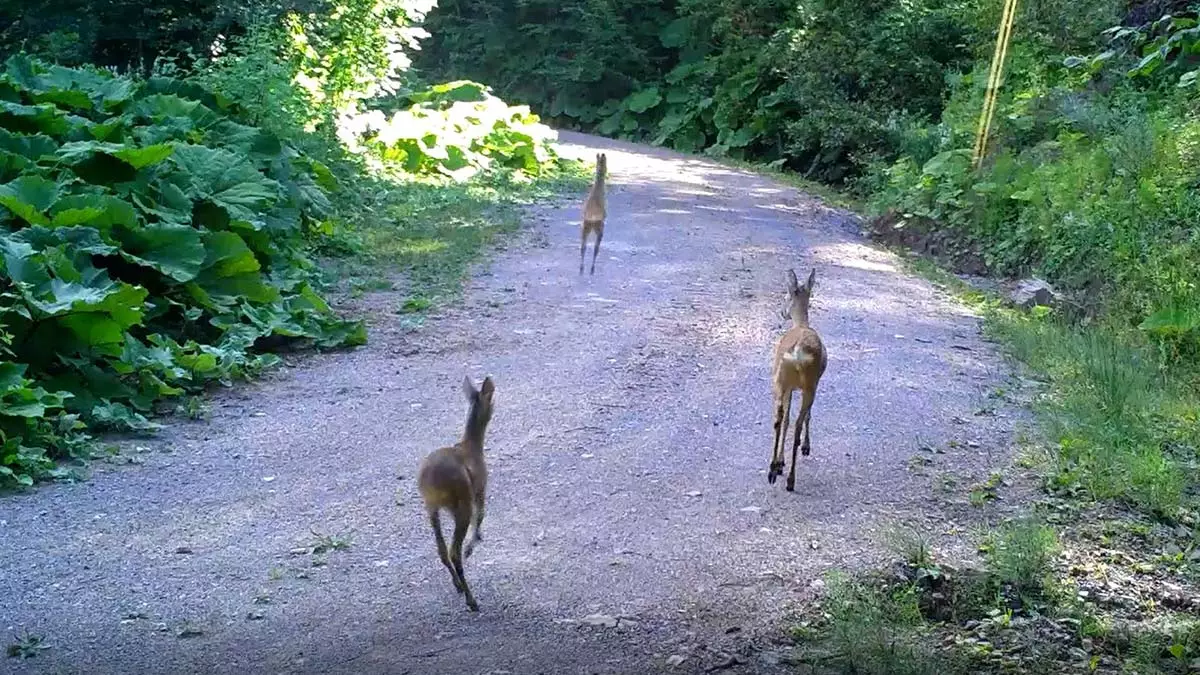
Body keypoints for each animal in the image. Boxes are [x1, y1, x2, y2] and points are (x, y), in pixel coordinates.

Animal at [415, 372, 494, 610]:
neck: (472, 445)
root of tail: (431, 481)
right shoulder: (481, 486)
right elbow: (482, 514)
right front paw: (473, 544)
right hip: (462, 500)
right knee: (453, 551)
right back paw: (472, 600)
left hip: (431, 506)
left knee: (441, 551)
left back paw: (458, 586)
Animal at [768, 265, 825, 492]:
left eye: (786, 296)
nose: (782, 312)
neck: (801, 324)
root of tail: (798, 351)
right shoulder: (811, 384)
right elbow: (806, 416)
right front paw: (806, 448)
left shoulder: (790, 387)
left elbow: (786, 420)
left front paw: (780, 462)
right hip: (809, 384)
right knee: (798, 423)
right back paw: (791, 479)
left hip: (781, 379)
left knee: (779, 418)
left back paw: (773, 470)